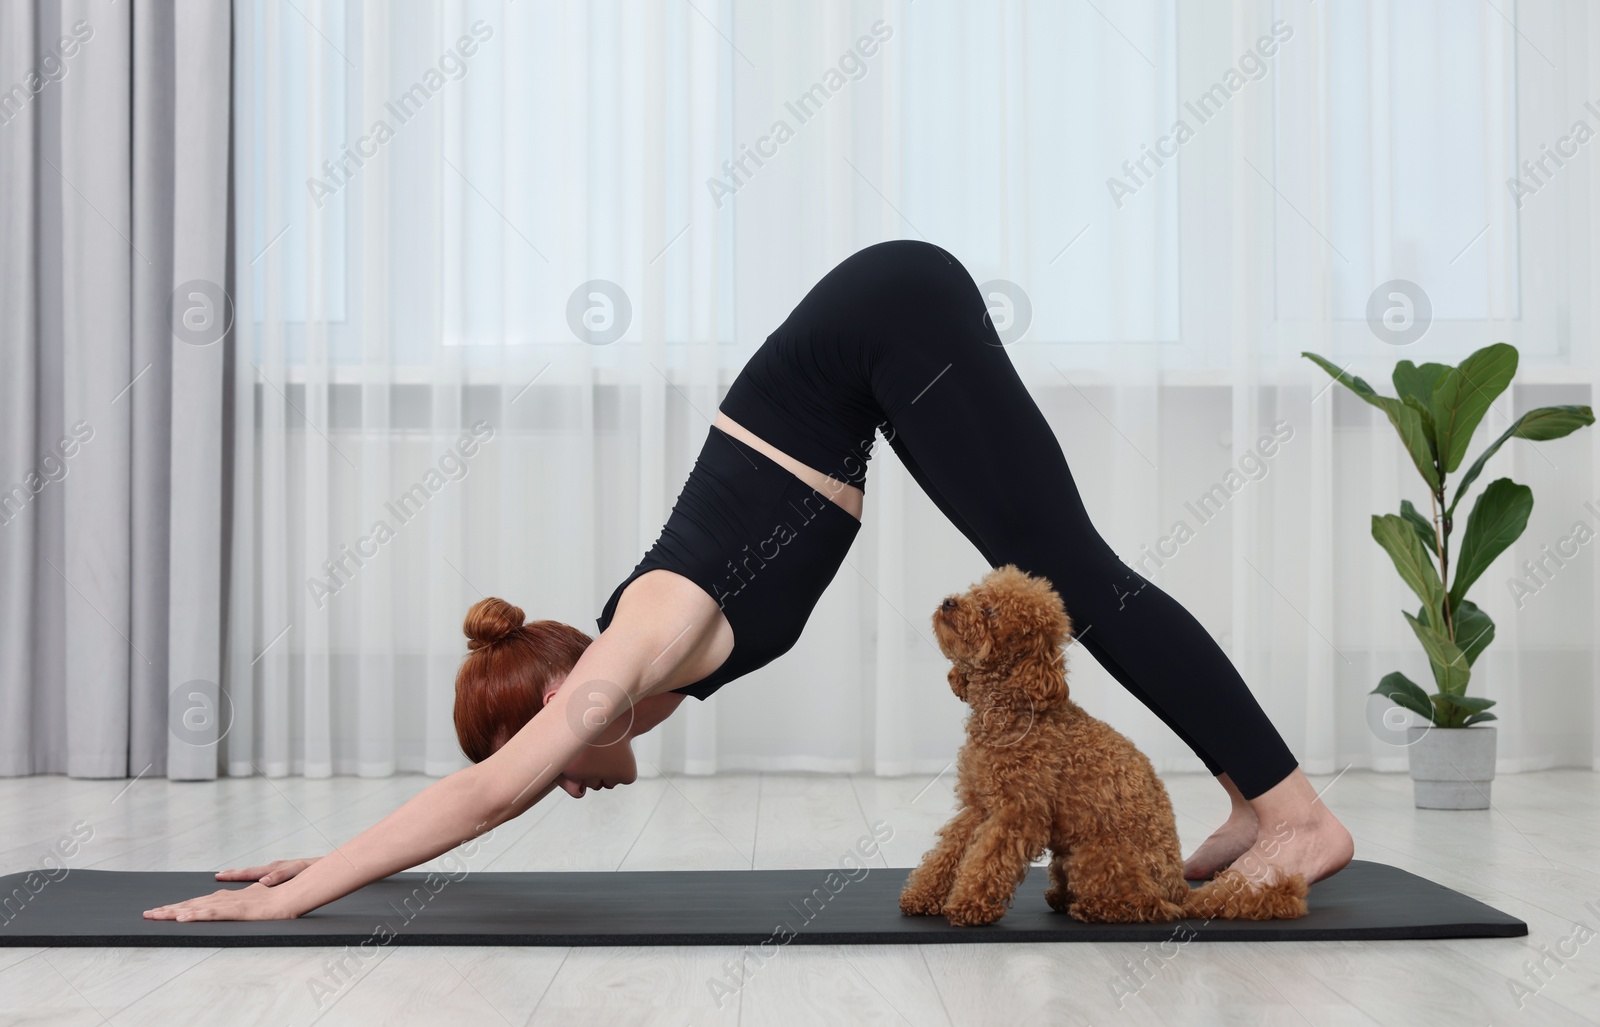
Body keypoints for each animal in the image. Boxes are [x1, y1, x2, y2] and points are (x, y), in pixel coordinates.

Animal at [896, 563, 1305, 921]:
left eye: (991, 610)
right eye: (974, 593)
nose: (949, 602)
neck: (1012, 710)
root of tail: (1180, 890)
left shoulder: (1019, 813)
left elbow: (987, 862)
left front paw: (968, 906)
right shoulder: (979, 806)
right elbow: (949, 851)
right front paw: (923, 896)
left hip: (1097, 854)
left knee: (1145, 906)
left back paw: (1095, 908)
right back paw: (1062, 897)